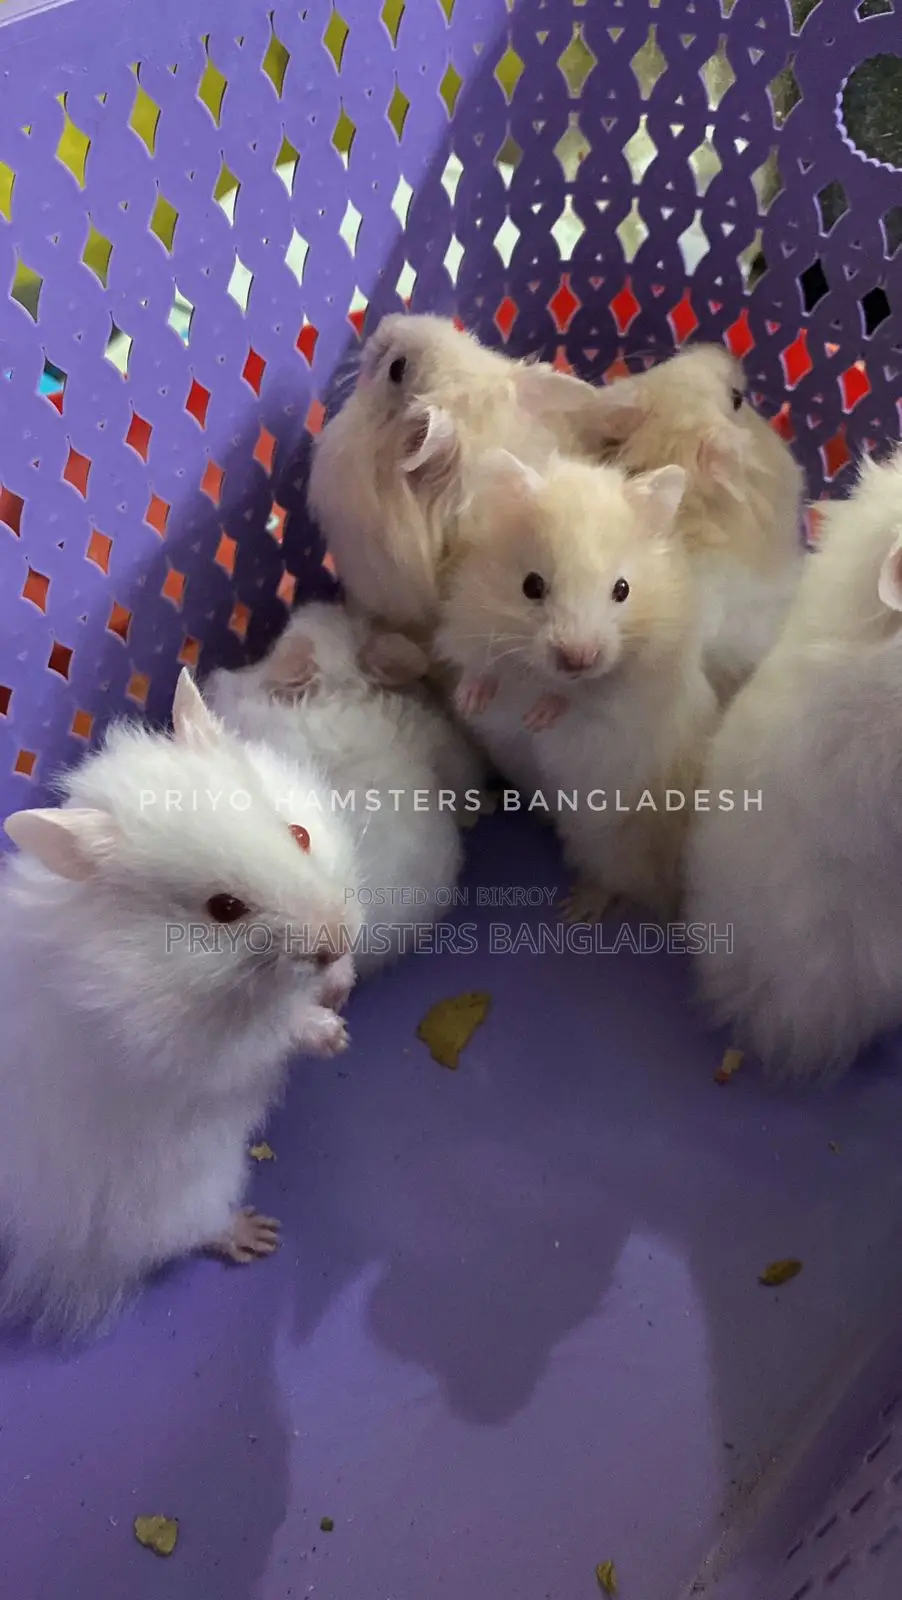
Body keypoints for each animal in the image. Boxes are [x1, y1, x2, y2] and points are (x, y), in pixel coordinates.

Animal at [0, 670, 363, 1338]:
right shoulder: (190, 1053)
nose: (337, 938)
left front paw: (340, 986)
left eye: (298, 834)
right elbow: (274, 1032)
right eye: (224, 908)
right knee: (189, 1235)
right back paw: (256, 1235)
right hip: (181, 1198)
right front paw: (333, 1034)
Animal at [435, 450, 718, 913]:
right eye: (531, 585)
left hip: (616, 842)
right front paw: (470, 702)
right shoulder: (470, 629)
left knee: (618, 882)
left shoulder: (634, 687)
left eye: (622, 589)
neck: (540, 673)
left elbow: (587, 695)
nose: (578, 658)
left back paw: (577, 910)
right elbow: (483, 669)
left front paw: (537, 717)